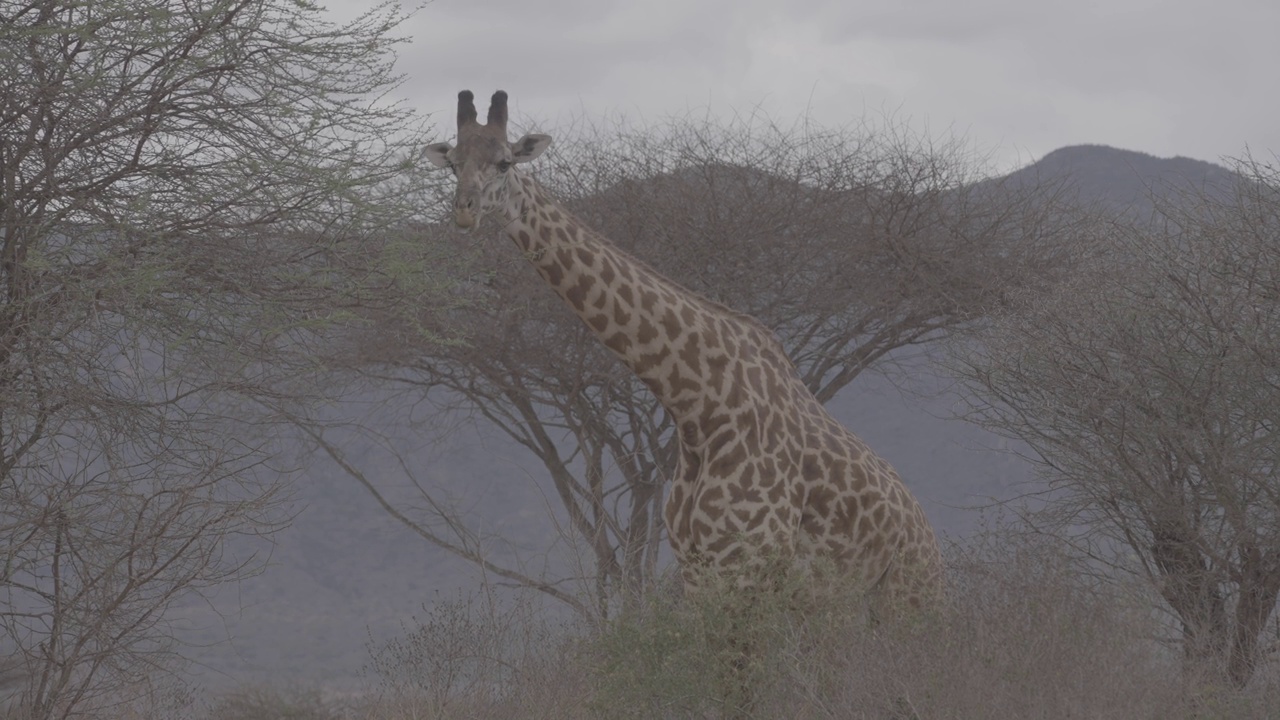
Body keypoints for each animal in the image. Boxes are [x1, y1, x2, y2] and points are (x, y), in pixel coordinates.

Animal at [424, 87, 947, 607]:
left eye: (505, 162)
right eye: (453, 163)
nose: (465, 209)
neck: (698, 407)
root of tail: (925, 527)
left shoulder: (748, 567)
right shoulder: (699, 570)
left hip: (909, 592)